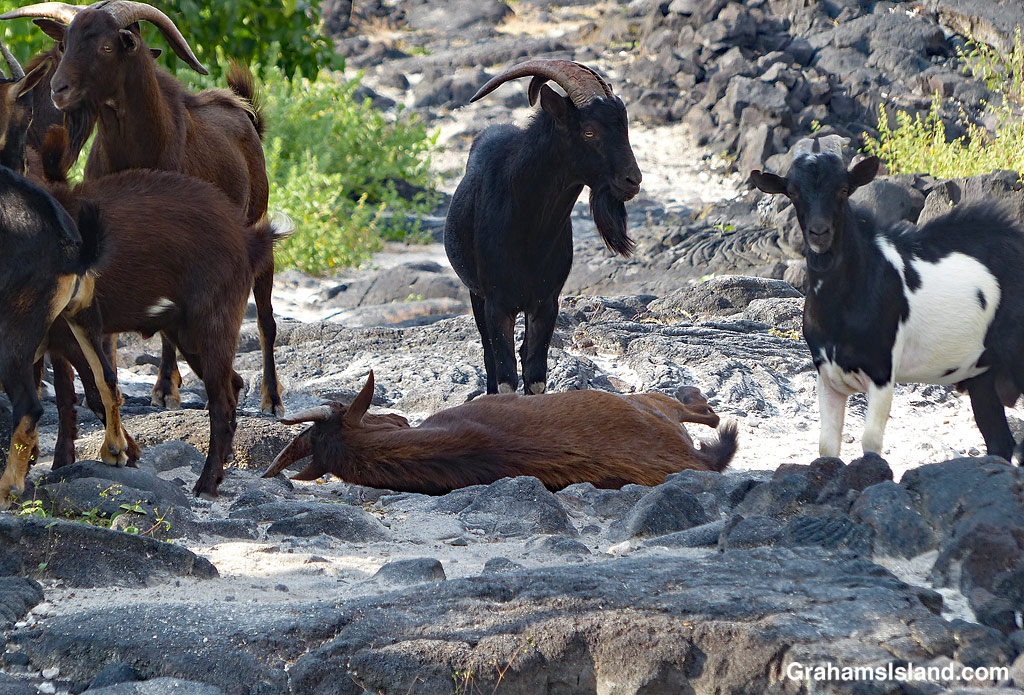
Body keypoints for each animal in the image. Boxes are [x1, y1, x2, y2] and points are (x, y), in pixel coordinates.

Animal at [2, 0, 283, 418]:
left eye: (106, 47)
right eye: (64, 44)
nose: (58, 90)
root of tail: (245, 115)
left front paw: (164, 390)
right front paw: (109, 388)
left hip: (257, 227)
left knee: (265, 318)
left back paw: (271, 398)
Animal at [38, 126, 281, 497]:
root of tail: (247, 239)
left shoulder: (73, 331)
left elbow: (97, 389)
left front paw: (124, 452)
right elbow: (67, 397)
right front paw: (62, 463)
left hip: (211, 325)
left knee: (222, 399)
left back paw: (206, 482)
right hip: (189, 336)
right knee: (234, 383)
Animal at [445, 59, 642, 395]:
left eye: (624, 128)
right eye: (589, 131)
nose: (633, 180)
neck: (527, 229)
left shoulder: (546, 302)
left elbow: (535, 374)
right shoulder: (497, 303)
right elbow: (506, 375)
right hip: (475, 294)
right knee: (488, 355)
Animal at [751, 135, 1024, 464]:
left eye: (843, 189)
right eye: (792, 192)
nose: (819, 232)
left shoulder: (881, 371)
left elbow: (870, 442)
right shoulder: (827, 376)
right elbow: (827, 447)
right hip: (983, 374)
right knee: (999, 443)